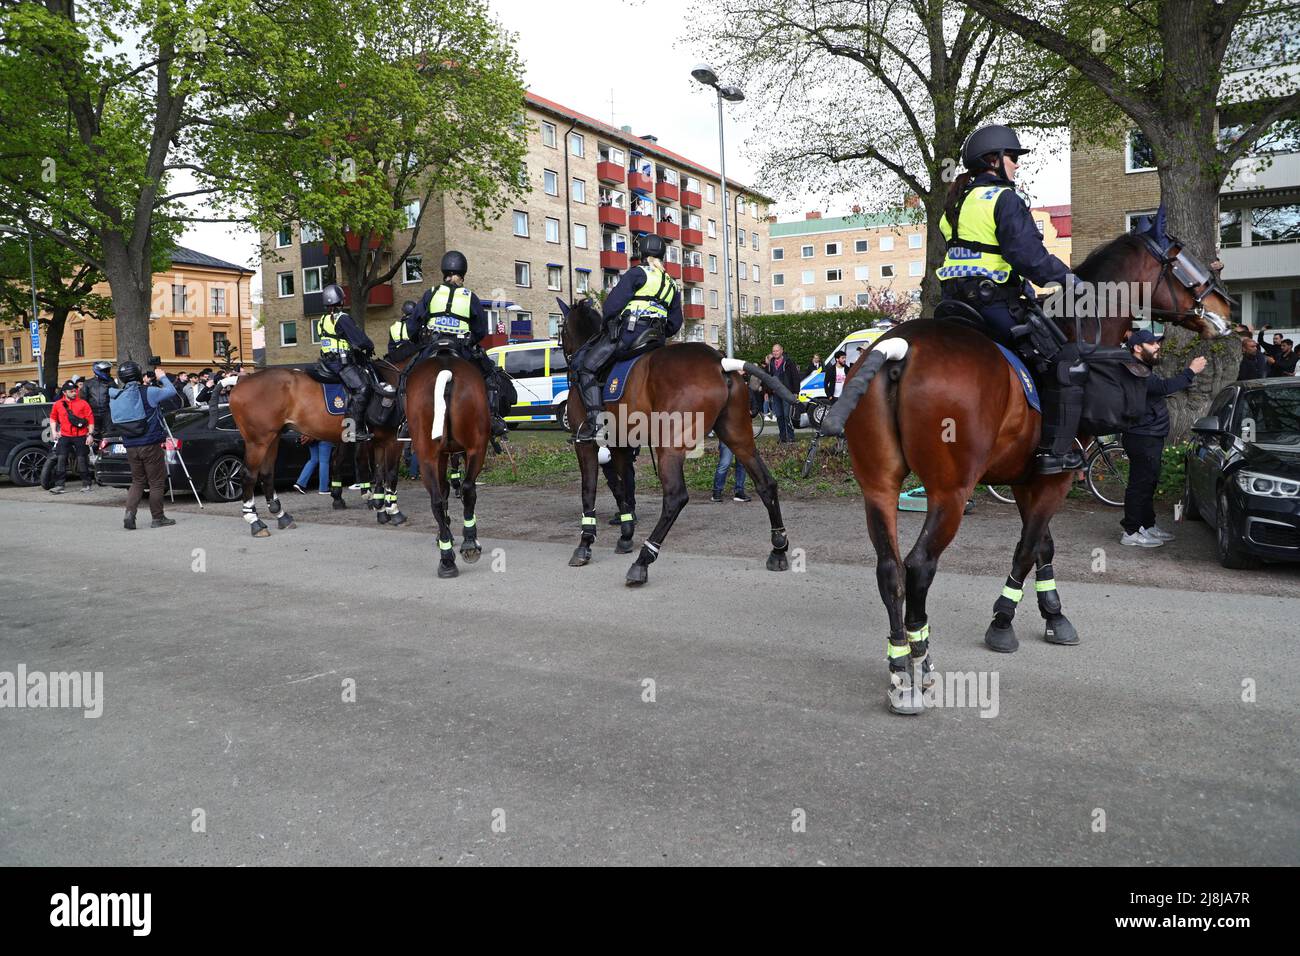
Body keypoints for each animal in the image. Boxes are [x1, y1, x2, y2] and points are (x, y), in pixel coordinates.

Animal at [226, 361, 403, 538]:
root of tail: (242, 381)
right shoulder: (392, 440)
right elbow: (389, 474)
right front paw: (392, 511)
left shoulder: (378, 441)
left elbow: (378, 474)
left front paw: (380, 508)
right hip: (258, 442)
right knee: (248, 475)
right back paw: (255, 522)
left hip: (273, 439)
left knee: (267, 474)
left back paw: (281, 516)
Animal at [403, 348, 488, 580]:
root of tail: (445, 372)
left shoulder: (441, 456)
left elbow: (445, 490)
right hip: (475, 449)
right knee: (465, 489)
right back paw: (467, 544)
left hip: (428, 457)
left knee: (438, 500)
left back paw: (447, 558)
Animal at [553, 297, 795, 582]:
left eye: (561, 330)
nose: (565, 360)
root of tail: (719, 362)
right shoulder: (621, 445)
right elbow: (623, 490)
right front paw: (625, 535)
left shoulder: (586, 444)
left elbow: (589, 490)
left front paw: (585, 543)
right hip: (738, 438)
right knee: (766, 484)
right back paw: (778, 549)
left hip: (669, 446)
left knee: (675, 497)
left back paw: (644, 559)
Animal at [821, 227, 1227, 712]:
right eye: (1186, 263)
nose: (1227, 310)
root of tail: (900, 349)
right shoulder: (1057, 476)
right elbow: (1027, 548)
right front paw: (1003, 621)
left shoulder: (1027, 479)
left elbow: (1043, 547)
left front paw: (1054, 614)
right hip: (950, 494)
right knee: (918, 566)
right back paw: (921, 663)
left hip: (879, 489)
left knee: (889, 570)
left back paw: (900, 667)